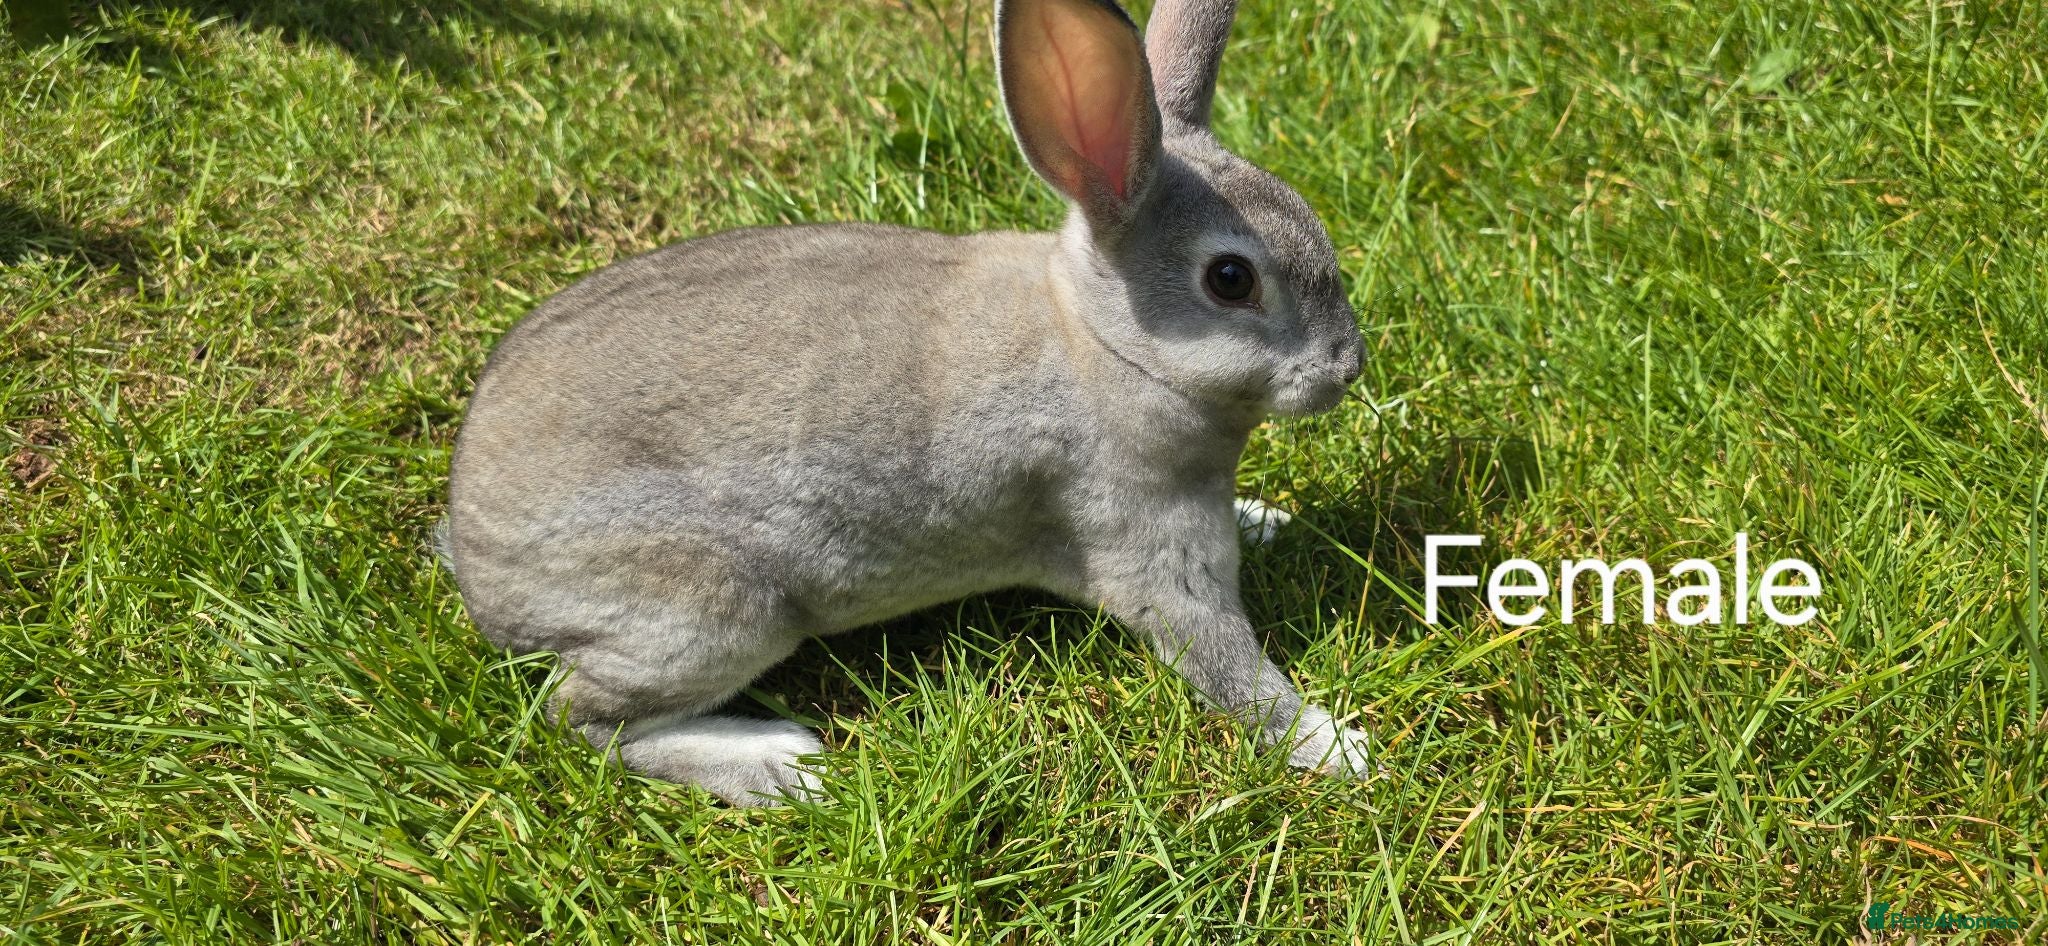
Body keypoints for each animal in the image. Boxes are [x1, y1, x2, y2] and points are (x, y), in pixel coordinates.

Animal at [443, 0, 1370, 806]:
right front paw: (1335, 745)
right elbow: (1228, 667)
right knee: (581, 719)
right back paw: (781, 766)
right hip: (715, 611)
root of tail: (483, 576)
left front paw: (1267, 519)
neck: (1109, 346)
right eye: (1230, 279)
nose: (1348, 367)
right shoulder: (1146, 545)